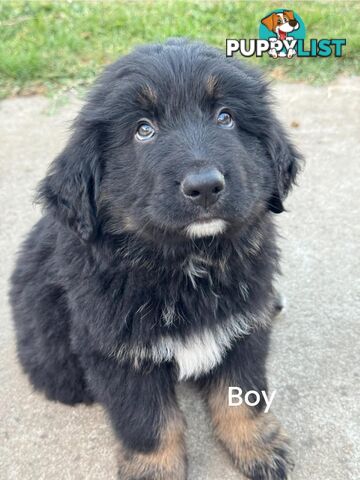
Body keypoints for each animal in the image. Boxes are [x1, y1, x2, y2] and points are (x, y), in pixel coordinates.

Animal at [10, 39, 300, 478]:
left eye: (225, 117)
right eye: (143, 130)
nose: (205, 186)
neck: (188, 264)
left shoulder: (245, 324)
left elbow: (242, 393)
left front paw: (259, 446)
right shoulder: (117, 352)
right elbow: (149, 421)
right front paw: (154, 469)